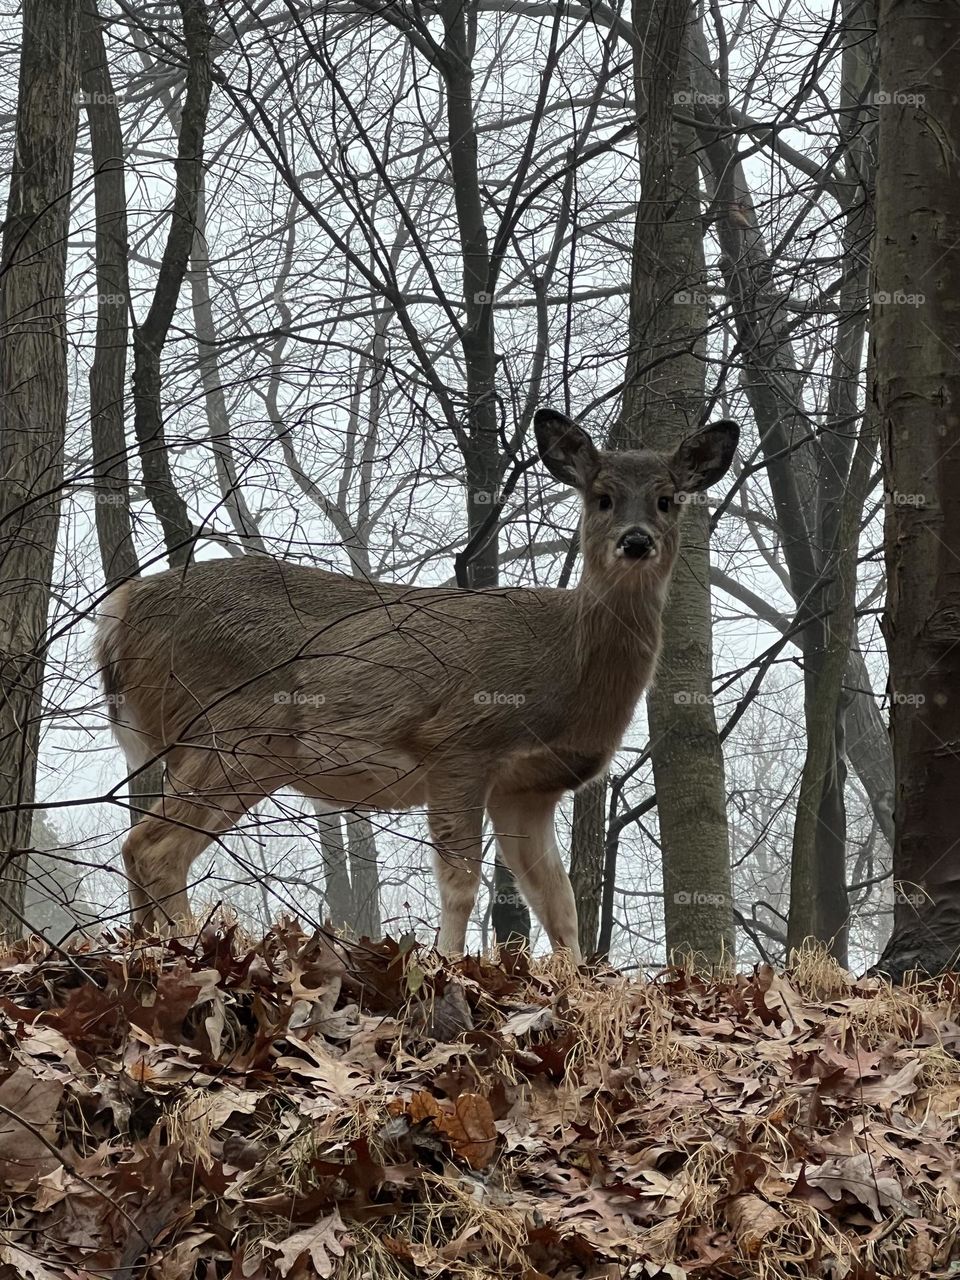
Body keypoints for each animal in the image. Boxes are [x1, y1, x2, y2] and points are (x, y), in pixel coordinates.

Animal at [96, 407, 738, 961]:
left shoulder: (527, 789)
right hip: (226, 729)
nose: (636, 539)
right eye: (601, 497)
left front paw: (576, 980)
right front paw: (448, 963)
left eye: (668, 499)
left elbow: (559, 904)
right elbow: (461, 883)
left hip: (243, 756)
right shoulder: (460, 742)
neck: (563, 661)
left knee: (141, 847)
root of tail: (120, 612)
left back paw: (145, 947)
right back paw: (185, 946)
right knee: (153, 848)